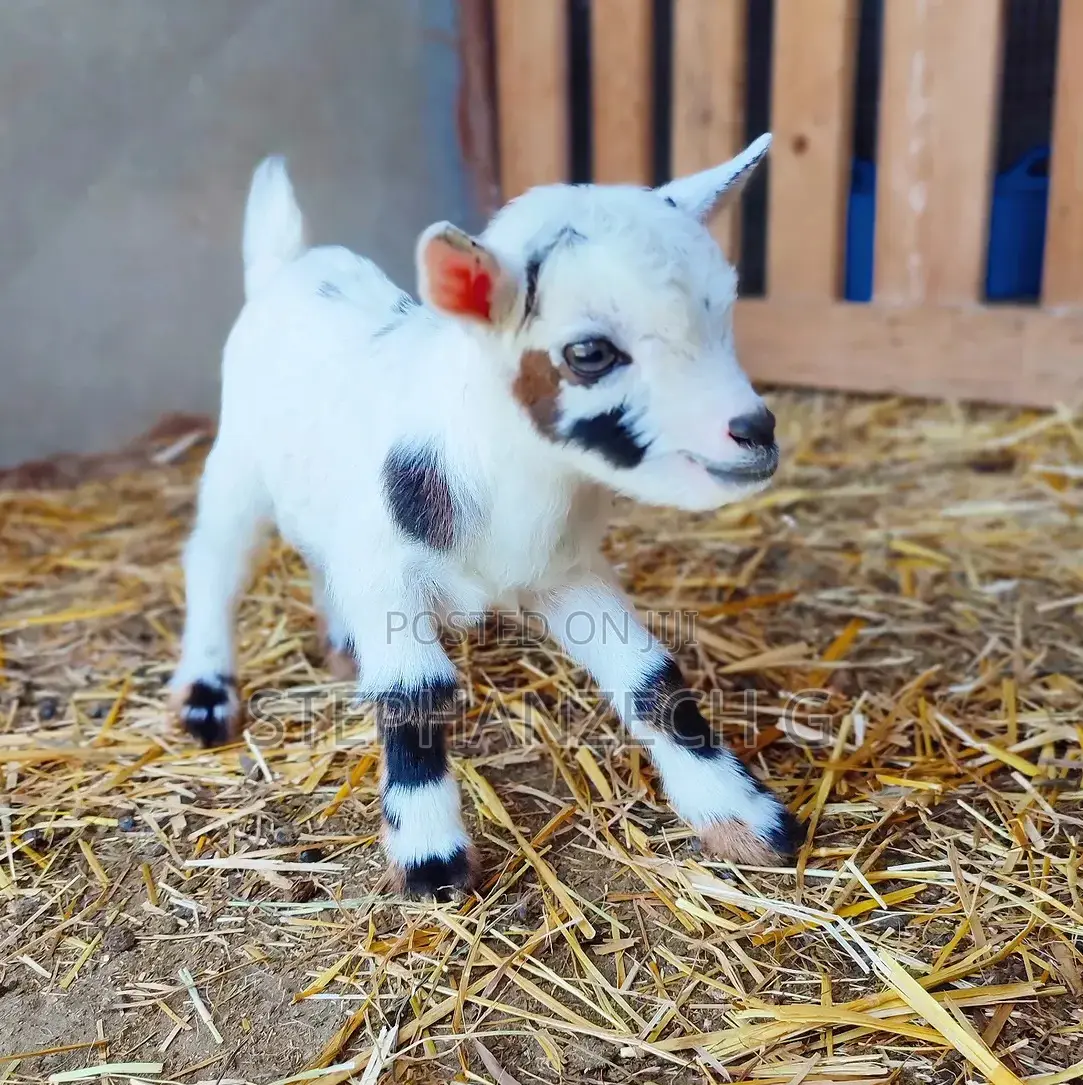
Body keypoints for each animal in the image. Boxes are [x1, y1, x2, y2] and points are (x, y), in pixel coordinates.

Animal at [171, 135, 802, 897]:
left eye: (723, 314)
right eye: (589, 353)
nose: (755, 432)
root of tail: (287, 265)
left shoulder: (563, 571)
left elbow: (649, 676)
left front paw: (745, 817)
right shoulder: (391, 573)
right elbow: (413, 695)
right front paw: (431, 860)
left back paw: (343, 643)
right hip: (238, 462)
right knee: (215, 559)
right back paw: (208, 692)